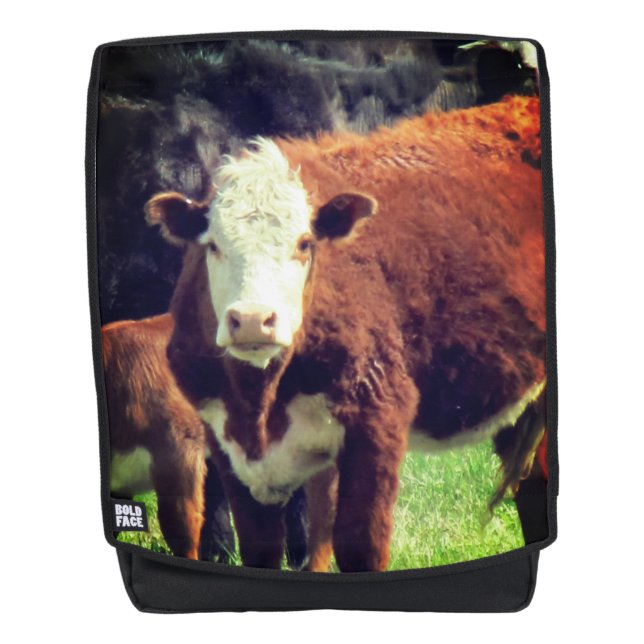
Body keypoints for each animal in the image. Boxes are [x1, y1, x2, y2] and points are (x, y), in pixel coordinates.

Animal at [144, 95, 548, 572]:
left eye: (304, 244)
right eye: (213, 246)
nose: (253, 319)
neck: (260, 402)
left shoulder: (376, 418)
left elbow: (360, 545)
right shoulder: (227, 442)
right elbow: (261, 547)